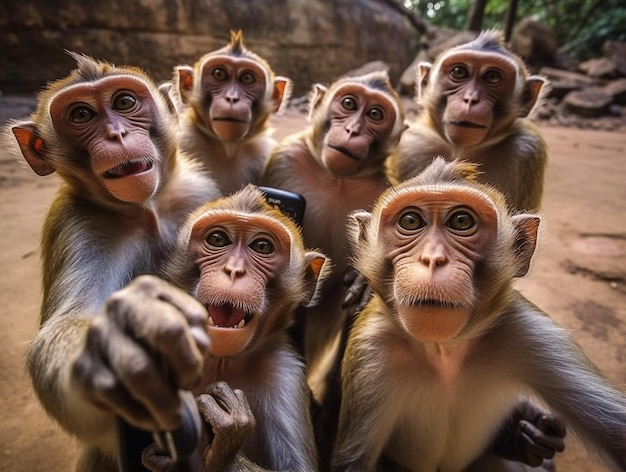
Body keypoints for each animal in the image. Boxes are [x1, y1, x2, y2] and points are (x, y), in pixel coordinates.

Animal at [7, 53, 222, 470]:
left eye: (124, 102)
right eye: (81, 114)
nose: (116, 135)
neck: (147, 211)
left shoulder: (198, 193)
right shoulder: (80, 227)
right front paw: (116, 340)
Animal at [330, 157, 620, 470]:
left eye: (461, 221)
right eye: (410, 221)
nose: (432, 259)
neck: (444, 351)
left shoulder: (533, 333)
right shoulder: (371, 349)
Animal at [390, 30, 544, 212]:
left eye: (493, 76)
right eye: (458, 72)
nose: (470, 99)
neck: (460, 152)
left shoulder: (526, 148)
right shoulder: (411, 145)